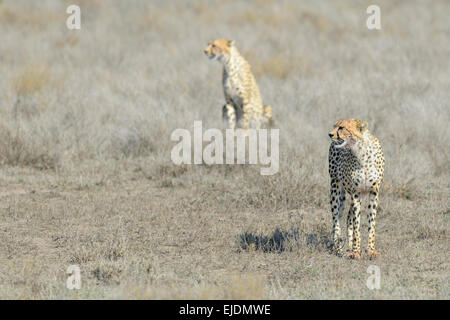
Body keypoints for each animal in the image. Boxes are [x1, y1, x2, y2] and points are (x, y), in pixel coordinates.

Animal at [328, 119, 384, 258]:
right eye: (334, 126)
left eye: (341, 127)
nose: (330, 134)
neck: (362, 151)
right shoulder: (356, 193)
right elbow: (357, 224)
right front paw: (356, 251)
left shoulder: (373, 192)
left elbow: (371, 224)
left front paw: (371, 250)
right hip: (335, 187)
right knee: (336, 219)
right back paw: (338, 248)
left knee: (348, 217)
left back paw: (347, 246)